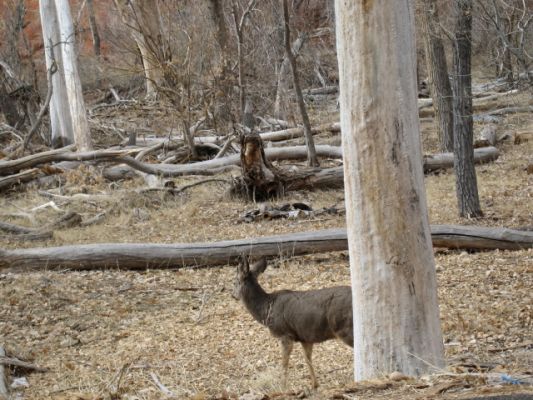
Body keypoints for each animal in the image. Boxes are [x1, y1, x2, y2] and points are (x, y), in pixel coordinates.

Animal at [233, 255, 354, 390]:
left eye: (235, 281)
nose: (233, 295)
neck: (267, 309)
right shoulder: (305, 337)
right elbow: (307, 359)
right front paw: (314, 384)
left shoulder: (286, 334)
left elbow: (284, 362)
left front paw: (283, 386)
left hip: (345, 328)